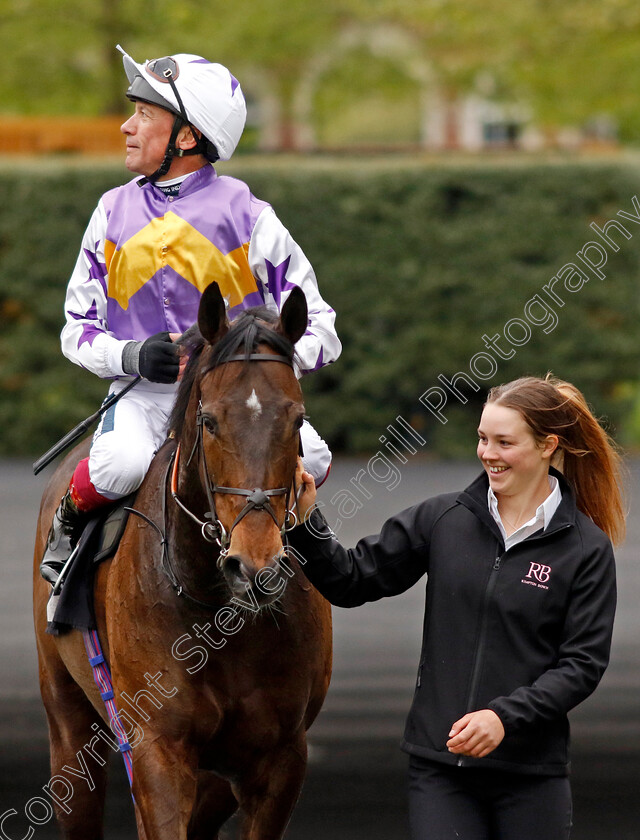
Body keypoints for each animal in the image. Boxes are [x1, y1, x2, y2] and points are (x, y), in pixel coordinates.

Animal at [33, 284, 336, 840]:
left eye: (297, 419)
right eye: (209, 420)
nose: (254, 566)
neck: (219, 614)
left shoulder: (281, 757)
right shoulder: (157, 748)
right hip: (67, 719)